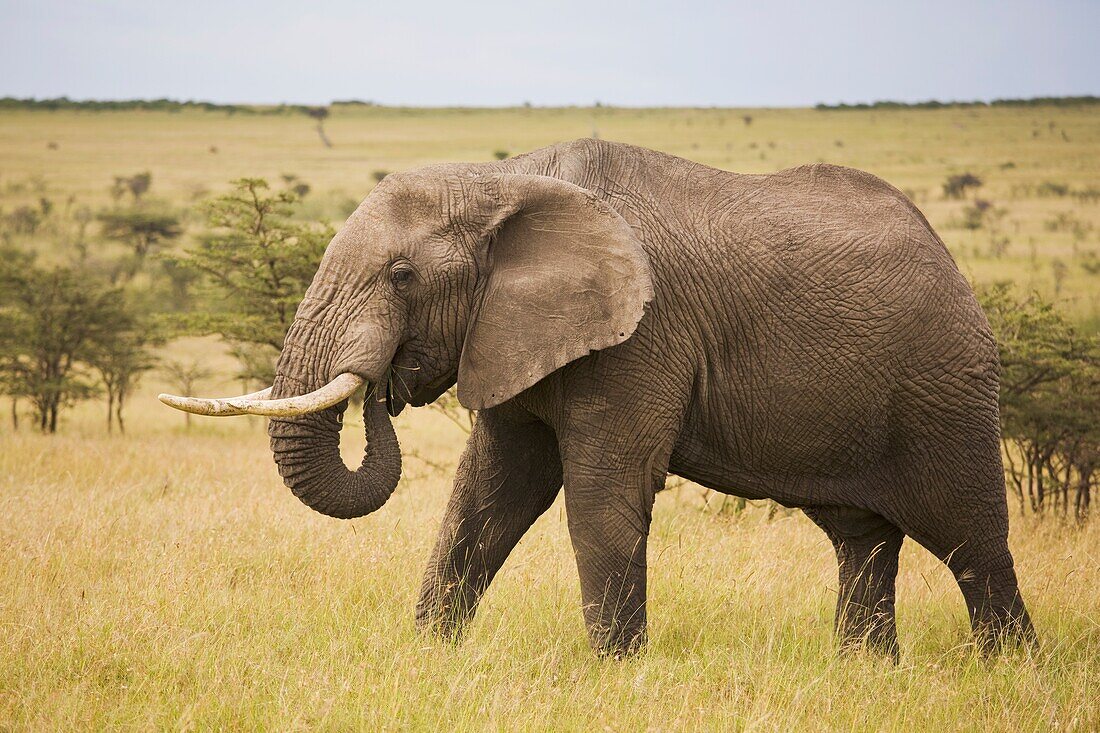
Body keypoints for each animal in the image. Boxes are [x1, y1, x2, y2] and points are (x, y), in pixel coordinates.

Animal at [159, 137, 1034, 655]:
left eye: (403, 276)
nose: (387, 385)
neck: (503, 180)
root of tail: (953, 263)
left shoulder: (641, 333)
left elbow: (597, 494)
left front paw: (615, 670)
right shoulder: (512, 328)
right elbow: (491, 492)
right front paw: (428, 653)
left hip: (944, 386)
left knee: (972, 540)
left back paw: (1007, 671)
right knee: (863, 542)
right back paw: (865, 672)